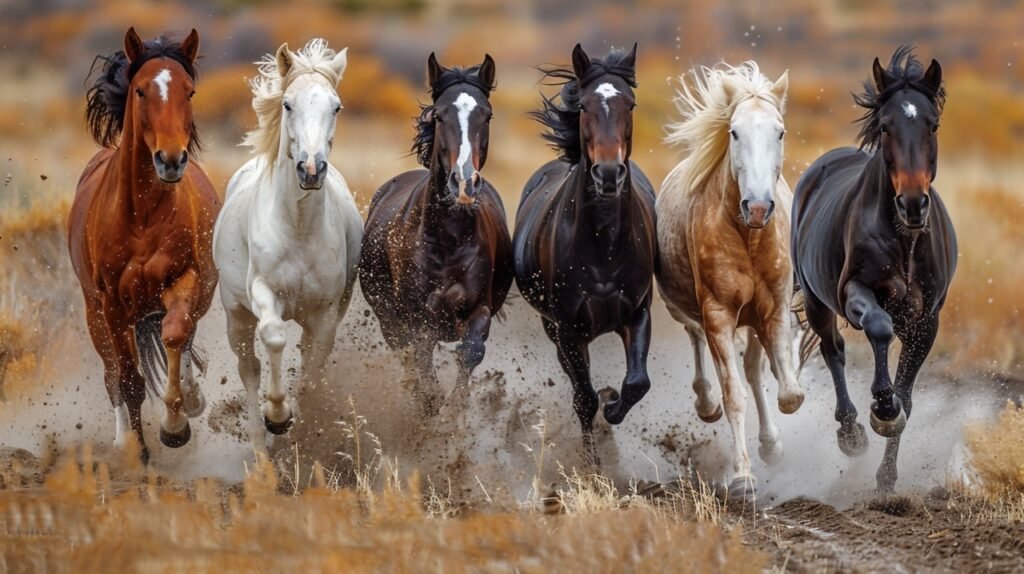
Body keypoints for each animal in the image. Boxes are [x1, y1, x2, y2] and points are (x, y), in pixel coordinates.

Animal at [69, 29, 221, 462]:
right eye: (140, 91)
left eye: (189, 91)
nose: (170, 160)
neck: (142, 218)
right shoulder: (112, 306)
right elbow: (128, 379)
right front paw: (136, 451)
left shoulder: (184, 280)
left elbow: (174, 335)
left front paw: (176, 426)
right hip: (95, 315)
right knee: (111, 374)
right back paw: (123, 440)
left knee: (184, 338)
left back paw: (191, 399)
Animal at [211, 40, 364, 450]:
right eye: (288, 104)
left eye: (336, 106)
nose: (310, 170)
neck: (298, 227)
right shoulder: (263, 293)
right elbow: (275, 337)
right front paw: (277, 416)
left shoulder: (326, 313)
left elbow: (312, 370)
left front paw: (299, 428)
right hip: (236, 315)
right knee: (249, 367)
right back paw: (258, 443)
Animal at [360, 53, 516, 415]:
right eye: (440, 114)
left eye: (487, 115)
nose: (464, 183)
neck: (448, 241)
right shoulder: (417, 319)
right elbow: (422, 366)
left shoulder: (479, 310)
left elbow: (470, 352)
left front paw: (453, 414)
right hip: (388, 321)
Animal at [512, 44, 655, 466]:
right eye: (585, 106)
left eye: (630, 103)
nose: (608, 175)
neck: (603, 244)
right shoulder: (568, 328)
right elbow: (584, 399)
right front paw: (592, 466)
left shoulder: (637, 313)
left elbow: (637, 382)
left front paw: (613, 405)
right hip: (556, 331)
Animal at [655, 62, 806, 499]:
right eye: (734, 132)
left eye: (780, 132)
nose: (756, 207)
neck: (748, 237)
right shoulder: (718, 313)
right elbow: (734, 394)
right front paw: (742, 477)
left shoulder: (772, 307)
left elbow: (787, 391)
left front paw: (772, 444)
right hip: (687, 309)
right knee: (697, 343)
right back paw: (706, 404)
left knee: (755, 369)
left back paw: (770, 443)